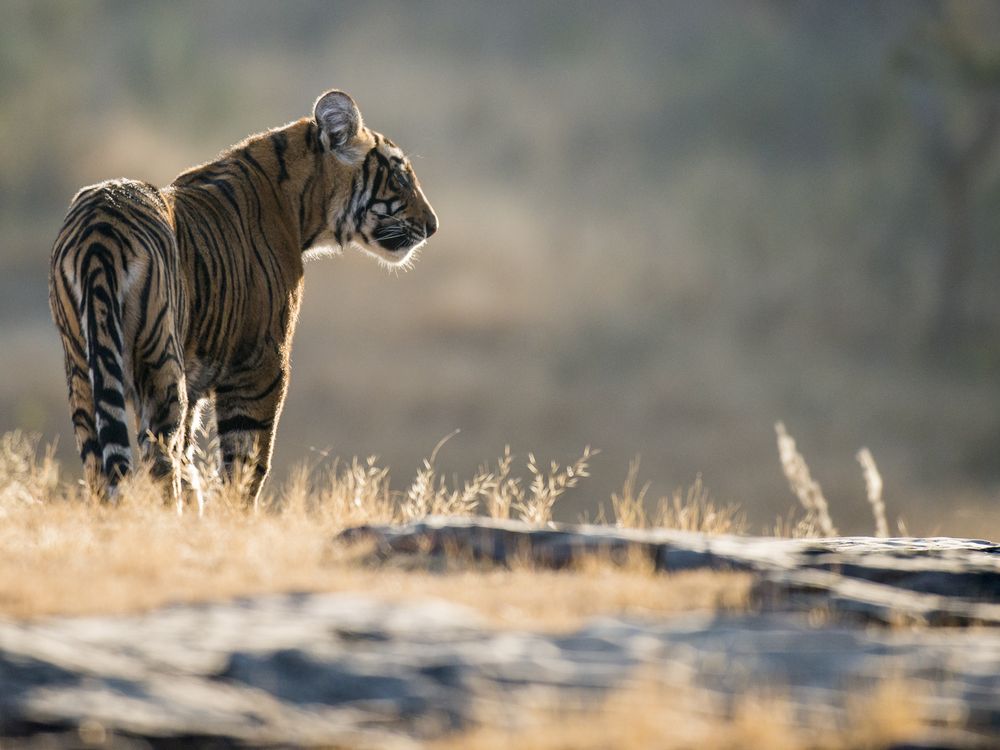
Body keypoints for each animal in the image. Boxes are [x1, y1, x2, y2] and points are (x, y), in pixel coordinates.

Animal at [47, 91, 438, 508]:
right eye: (400, 178)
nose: (433, 226)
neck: (300, 206)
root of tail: (99, 230)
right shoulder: (261, 366)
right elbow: (245, 463)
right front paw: (234, 516)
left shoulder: (198, 382)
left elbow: (191, 460)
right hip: (160, 361)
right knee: (159, 459)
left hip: (82, 368)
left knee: (101, 465)